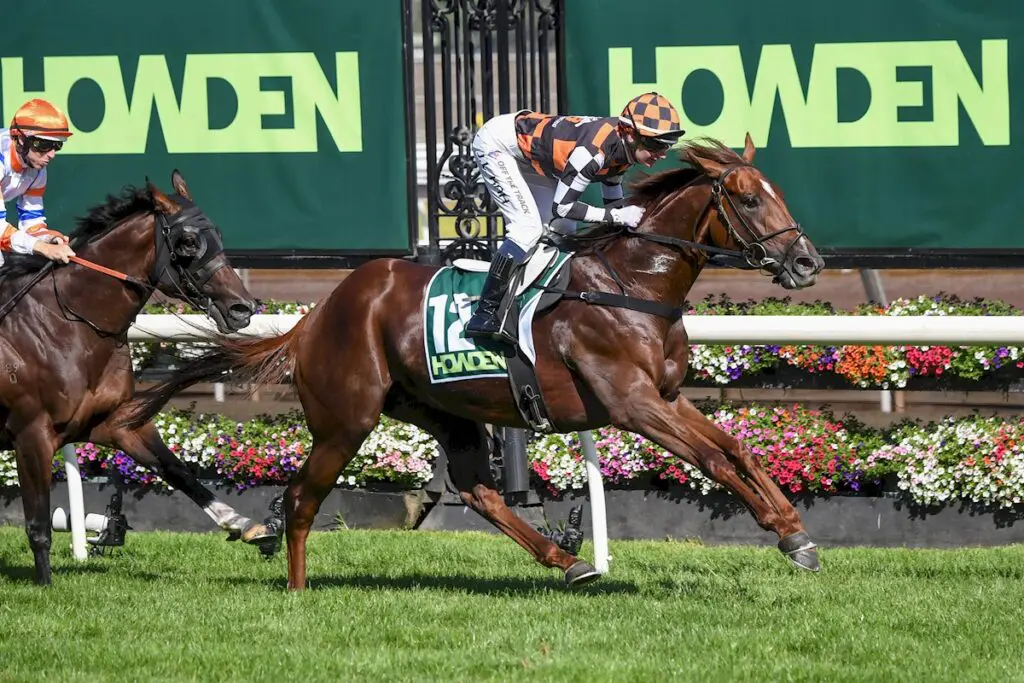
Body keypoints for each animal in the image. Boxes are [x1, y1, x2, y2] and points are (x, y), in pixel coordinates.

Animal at [1, 171, 276, 581]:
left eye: (218, 235)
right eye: (188, 241)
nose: (241, 308)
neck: (68, 325)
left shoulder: (117, 421)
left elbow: (179, 471)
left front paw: (250, 527)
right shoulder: (31, 434)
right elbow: (38, 527)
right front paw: (46, 586)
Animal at [125, 137, 823, 589]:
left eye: (778, 194)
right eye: (748, 200)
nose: (807, 262)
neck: (631, 284)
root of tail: (317, 316)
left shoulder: (667, 397)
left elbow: (736, 449)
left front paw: (794, 527)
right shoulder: (632, 402)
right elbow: (712, 459)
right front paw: (787, 535)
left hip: (445, 410)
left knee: (477, 490)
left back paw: (570, 562)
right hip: (346, 419)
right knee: (300, 497)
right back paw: (297, 589)